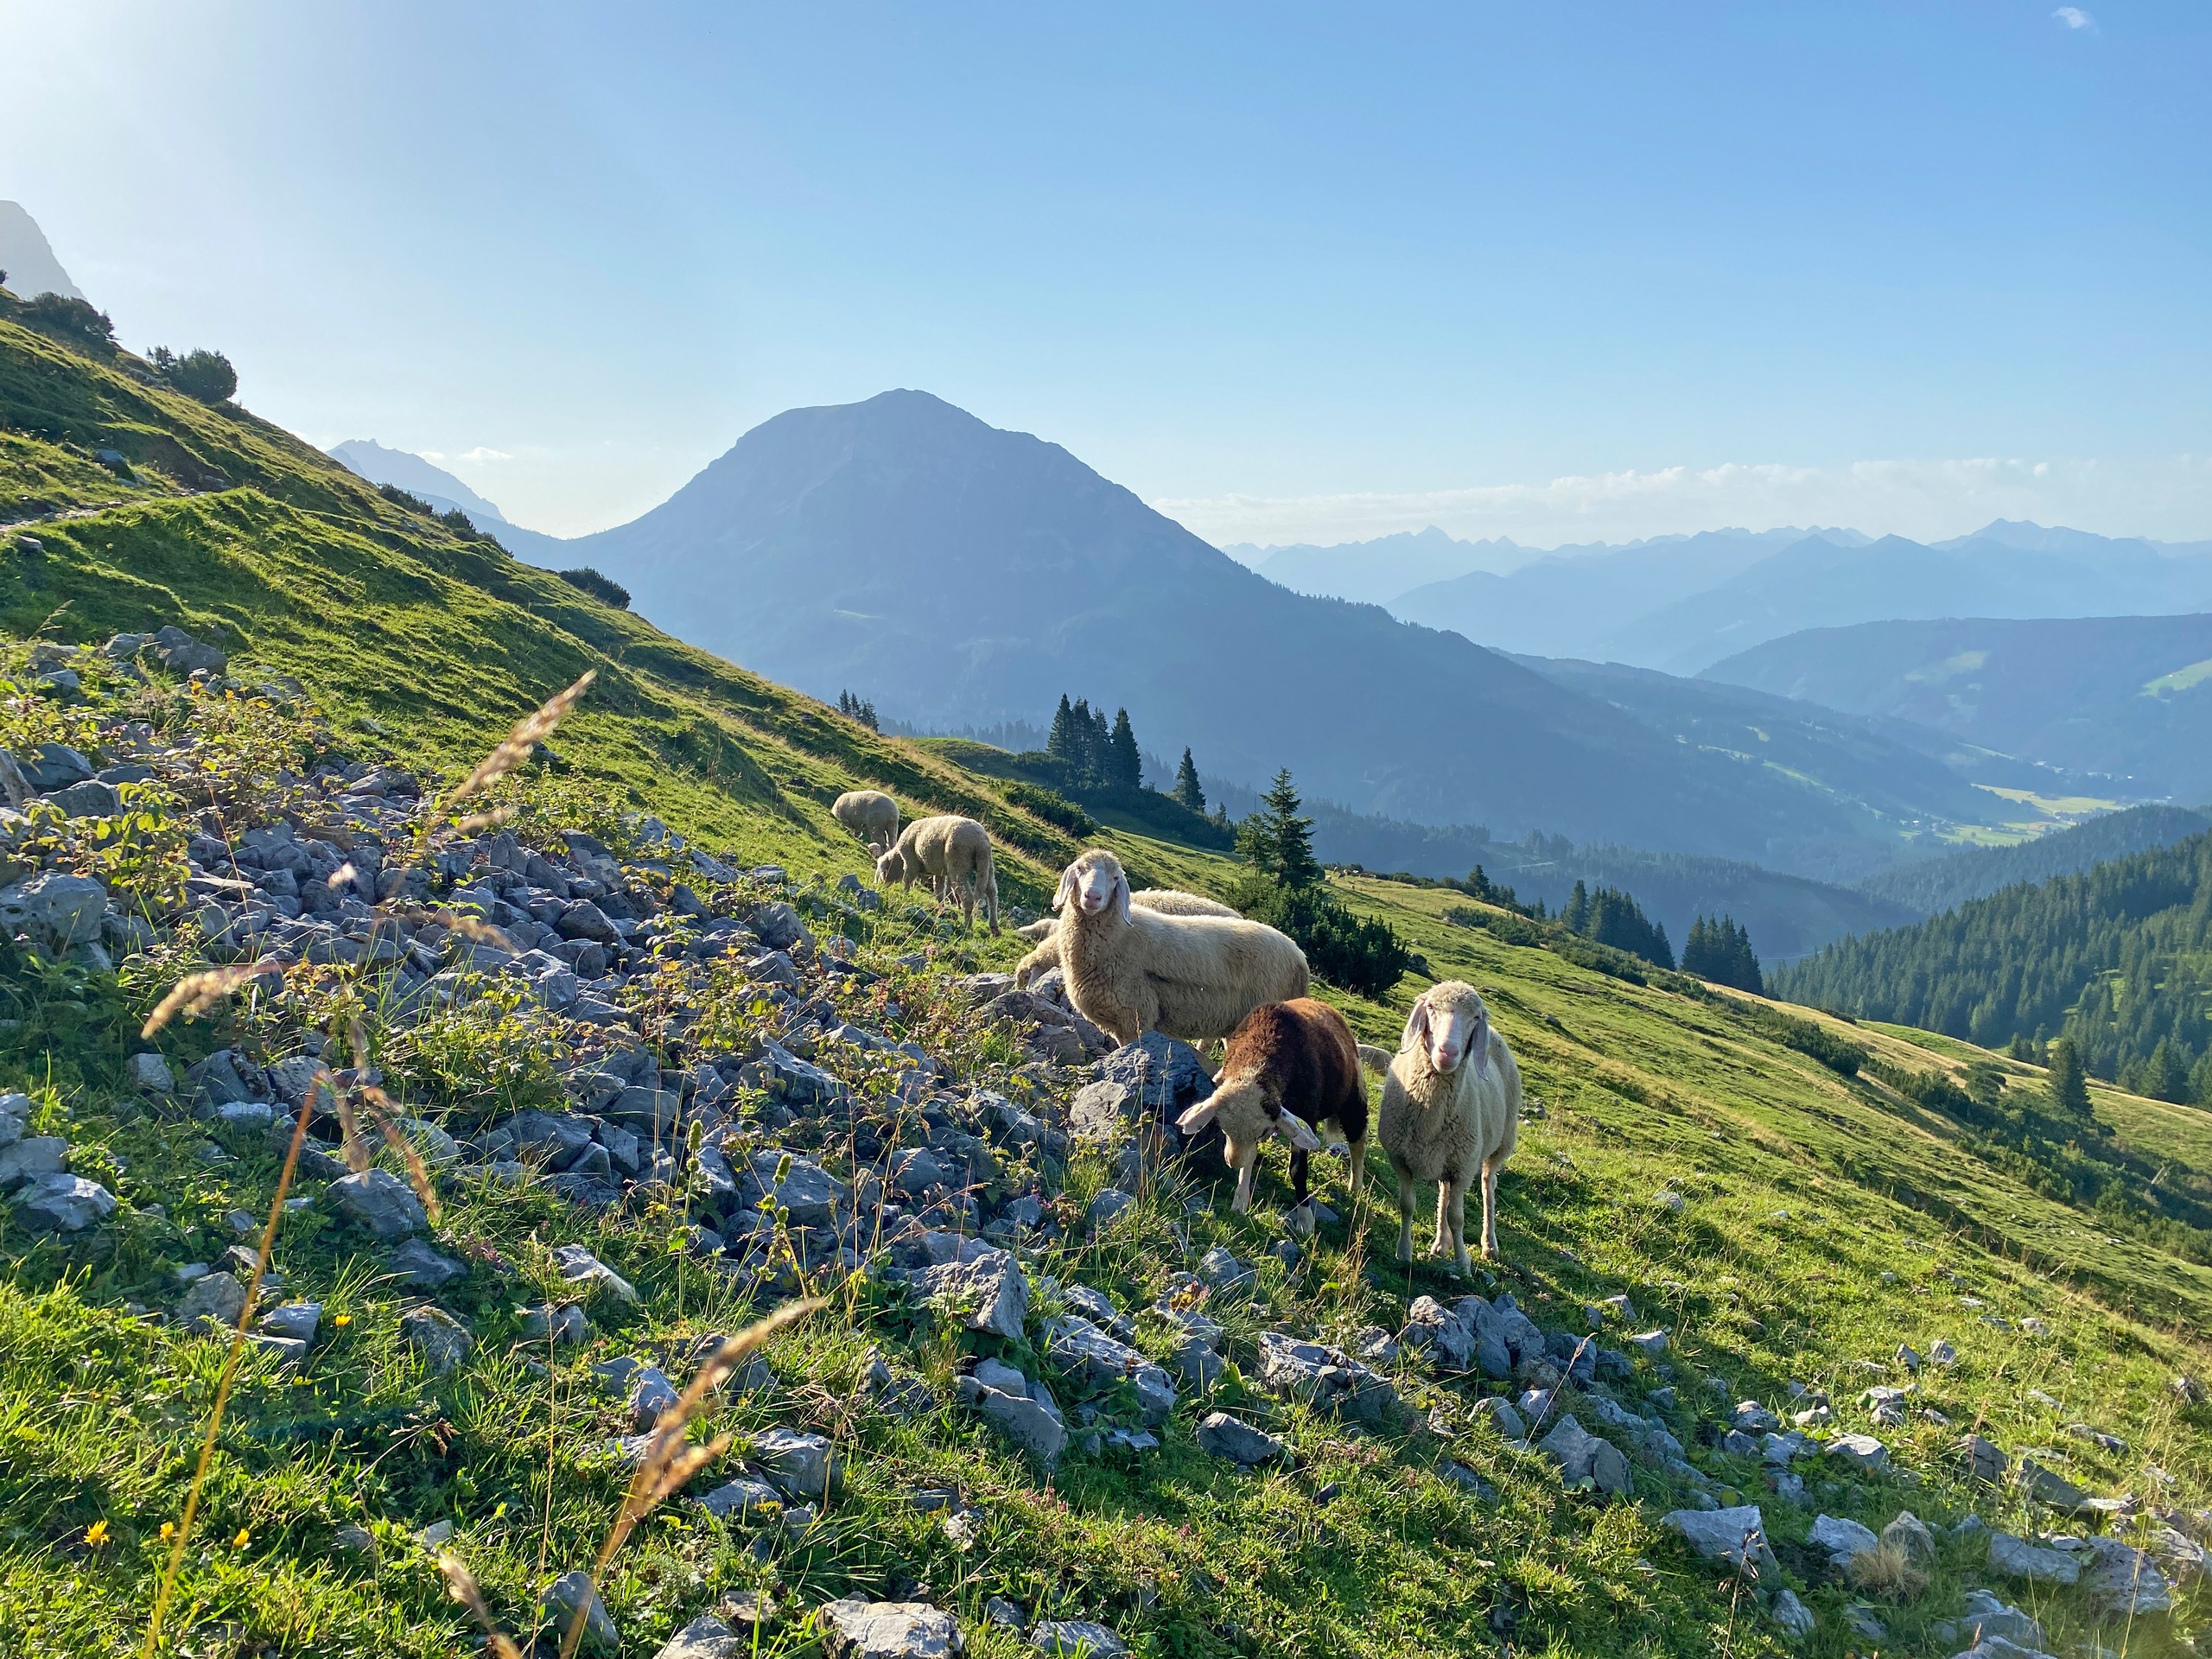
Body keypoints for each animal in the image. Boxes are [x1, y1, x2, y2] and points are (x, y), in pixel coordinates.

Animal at [871, 814, 1004, 938]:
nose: (880, 887)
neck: (899, 859)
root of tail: (980, 841)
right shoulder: (938, 870)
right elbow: (939, 890)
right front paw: (941, 909)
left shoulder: (911, 861)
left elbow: (908, 880)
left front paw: (905, 896)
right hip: (987, 864)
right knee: (992, 893)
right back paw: (994, 928)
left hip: (958, 862)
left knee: (967, 897)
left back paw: (968, 926)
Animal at [1044, 849, 1300, 1044]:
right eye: (1080, 869)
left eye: (1116, 878)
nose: (1092, 897)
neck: (1120, 936)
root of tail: (1299, 957)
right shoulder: (1119, 1022)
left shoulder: (1138, 1016)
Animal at [1176, 1000, 1362, 1221]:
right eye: (1222, 1128)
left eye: (1263, 1131)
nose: (1232, 1163)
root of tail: (1322, 1004)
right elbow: (1251, 1157)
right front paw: (1240, 1200)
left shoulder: (1307, 1114)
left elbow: (1298, 1171)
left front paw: (1306, 1219)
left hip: (1353, 1097)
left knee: (1358, 1139)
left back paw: (1356, 1186)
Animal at [1362, 982, 1522, 1282]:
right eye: (1431, 1007)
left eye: (1474, 1018)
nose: (1447, 1052)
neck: (1430, 1118)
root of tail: (1495, 1034)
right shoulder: (1400, 1158)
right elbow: (1407, 1204)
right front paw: (1404, 1252)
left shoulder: (1463, 1168)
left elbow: (1458, 1218)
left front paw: (1463, 1264)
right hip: (1446, 1156)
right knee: (1443, 1193)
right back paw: (1440, 1243)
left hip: (1498, 1145)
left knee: (1488, 1186)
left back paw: (1488, 1244)